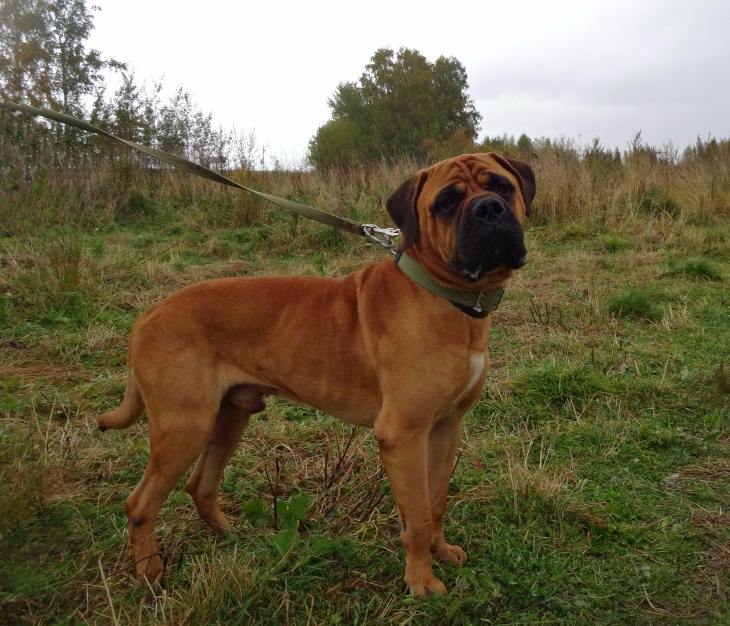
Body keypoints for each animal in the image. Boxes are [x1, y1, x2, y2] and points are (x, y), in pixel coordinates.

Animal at [98, 152, 535, 595]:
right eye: (446, 202)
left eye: (501, 187)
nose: (488, 210)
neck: (444, 295)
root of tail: (149, 314)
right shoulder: (405, 435)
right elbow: (418, 517)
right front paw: (421, 581)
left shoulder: (446, 428)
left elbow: (436, 502)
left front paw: (442, 552)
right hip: (184, 427)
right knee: (140, 504)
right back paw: (151, 571)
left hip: (227, 419)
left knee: (200, 485)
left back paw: (230, 535)